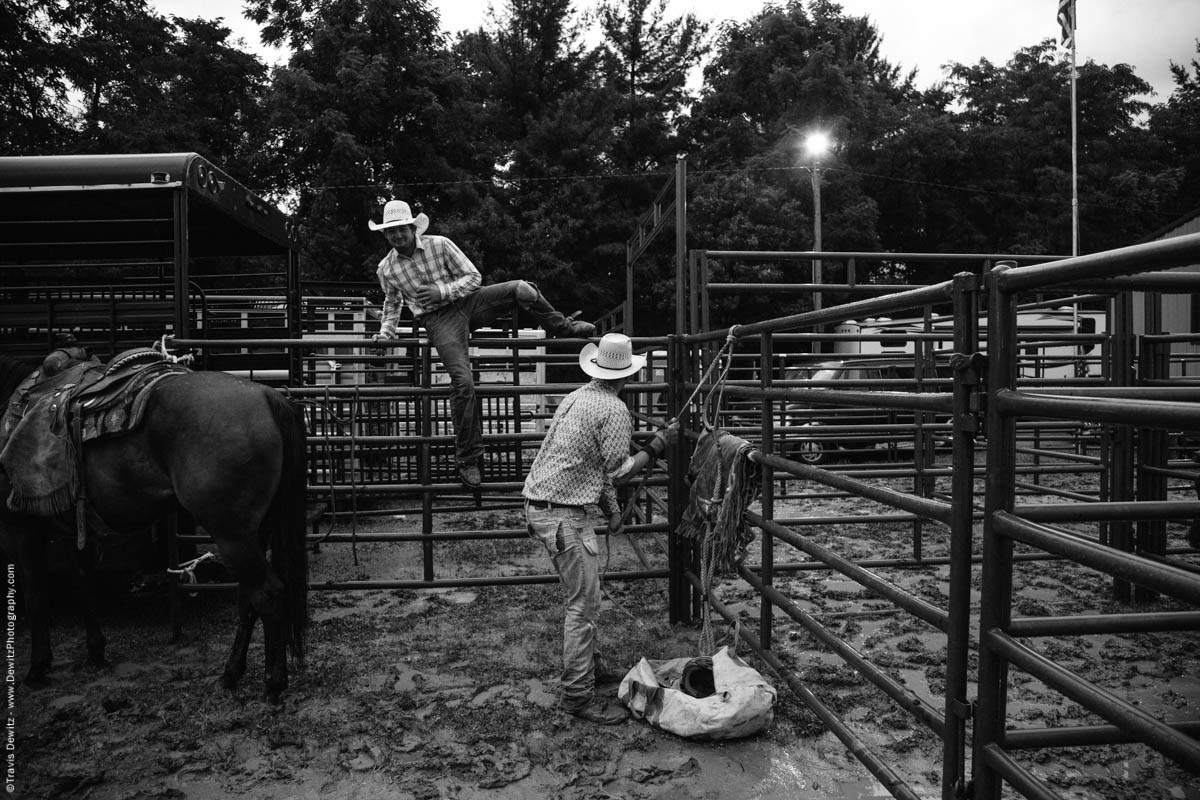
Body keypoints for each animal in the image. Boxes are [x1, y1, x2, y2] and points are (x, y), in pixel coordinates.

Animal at [2, 350, 309, 700]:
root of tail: (267, 396)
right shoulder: (77, 530)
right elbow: (83, 582)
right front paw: (95, 650)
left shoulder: (20, 525)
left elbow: (36, 593)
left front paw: (38, 667)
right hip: (257, 531)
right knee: (249, 598)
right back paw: (230, 674)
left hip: (233, 535)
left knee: (268, 595)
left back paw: (273, 683)